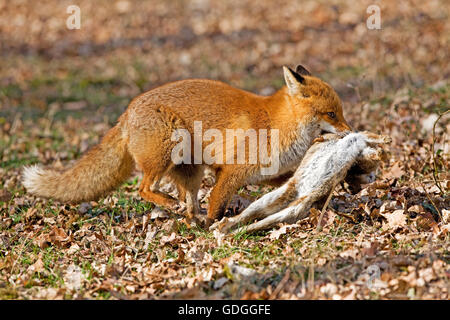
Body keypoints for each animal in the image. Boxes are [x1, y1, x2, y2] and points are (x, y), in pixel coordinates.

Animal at [22, 64, 352, 225]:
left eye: (341, 112)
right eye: (332, 114)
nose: (352, 131)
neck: (276, 123)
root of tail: (126, 112)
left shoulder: (265, 173)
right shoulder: (229, 172)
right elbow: (216, 206)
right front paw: (215, 232)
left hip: (191, 173)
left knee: (189, 206)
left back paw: (187, 219)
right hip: (167, 152)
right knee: (145, 189)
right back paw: (171, 206)